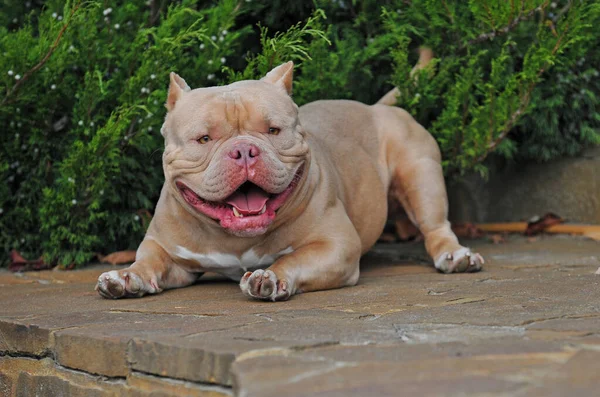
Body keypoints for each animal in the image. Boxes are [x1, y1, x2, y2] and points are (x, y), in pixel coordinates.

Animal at [96, 58, 486, 300]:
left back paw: (455, 255)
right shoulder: (167, 252)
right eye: (203, 139)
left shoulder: (335, 246)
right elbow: (149, 262)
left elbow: (294, 259)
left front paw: (270, 276)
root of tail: (374, 107)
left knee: (436, 226)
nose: (244, 150)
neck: (236, 241)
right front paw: (126, 277)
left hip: (422, 176)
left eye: (273, 130)